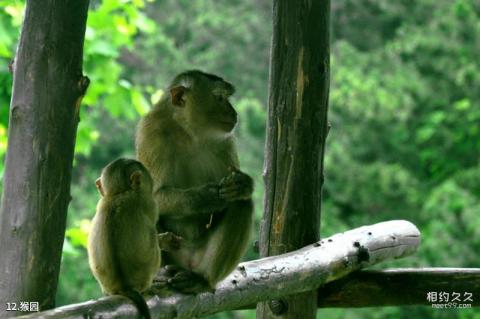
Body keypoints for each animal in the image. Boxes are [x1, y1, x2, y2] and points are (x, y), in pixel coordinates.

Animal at [87, 159, 183, 318]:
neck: (120, 192)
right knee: (153, 243)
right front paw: (166, 240)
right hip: (144, 276)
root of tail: (124, 286)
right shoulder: (151, 204)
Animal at [135, 70, 255, 296]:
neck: (187, 132)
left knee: (241, 204)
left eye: (227, 98)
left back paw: (201, 279)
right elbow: (149, 193)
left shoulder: (225, 140)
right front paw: (205, 197)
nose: (234, 112)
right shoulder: (151, 133)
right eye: (219, 98)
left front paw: (242, 185)